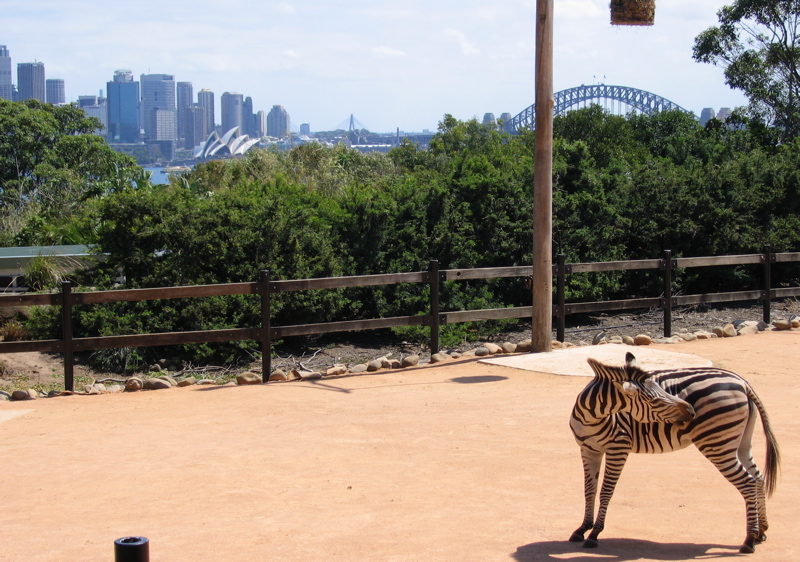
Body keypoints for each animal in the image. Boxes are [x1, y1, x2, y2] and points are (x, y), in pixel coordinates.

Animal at [569, 352, 780, 554]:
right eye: (654, 400)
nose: (691, 412)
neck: (592, 417)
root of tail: (742, 382)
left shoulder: (618, 448)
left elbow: (606, 491)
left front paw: (595, 533)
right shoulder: (588, 450)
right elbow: (589, 490)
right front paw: (582, 528)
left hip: (718, 445)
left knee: (748, 482)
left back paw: (749, 540)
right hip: (741, 443)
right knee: (758, 478)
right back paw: (761, 531)